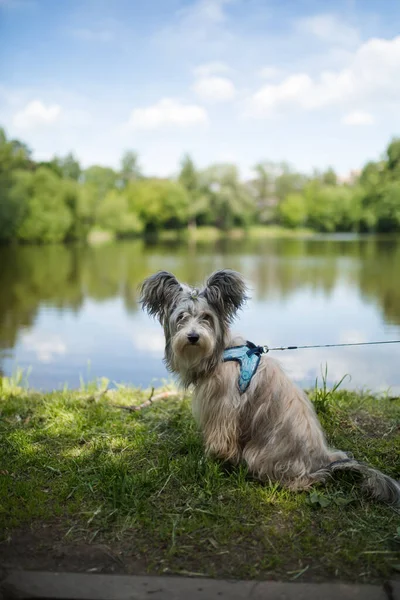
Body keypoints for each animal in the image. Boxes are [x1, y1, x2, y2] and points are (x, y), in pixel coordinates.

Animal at [140, 270, 400, 504]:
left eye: (206, 317)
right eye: (181, 317)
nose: (193, 336)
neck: (220, 354)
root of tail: (322, 459)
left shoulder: (222, 410)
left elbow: (220, 441)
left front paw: (211, 462)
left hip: (258, 453)